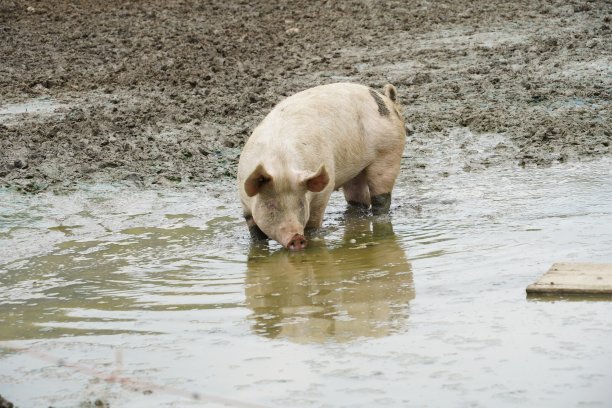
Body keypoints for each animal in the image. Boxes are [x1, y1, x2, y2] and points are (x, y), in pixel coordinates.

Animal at [239, 82, 406, 249]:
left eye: (301, 204)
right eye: (271, 205)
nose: (297, 238)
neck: (282, 165)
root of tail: (388, 101)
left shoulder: (323, 191)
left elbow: (313, 222)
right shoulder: (245, 205)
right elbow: (255, 233)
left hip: (389, 153)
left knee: (381, 197)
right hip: (356, 169)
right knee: (358, 198)